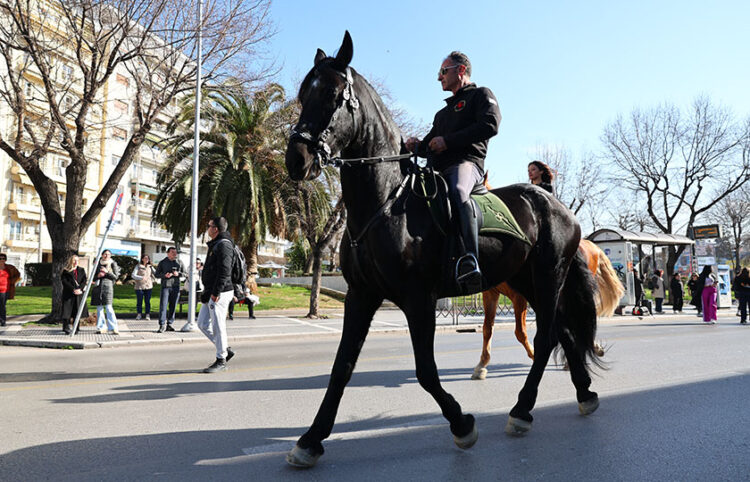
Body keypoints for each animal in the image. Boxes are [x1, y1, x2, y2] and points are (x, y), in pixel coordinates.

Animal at [284, 31, 604, 466]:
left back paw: (522, 410)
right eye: (304, 94)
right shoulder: (361, 296)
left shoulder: (418, 299)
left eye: (334, 96)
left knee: (545, 338)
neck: (388, 202)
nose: (296, 159)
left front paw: (462, 423)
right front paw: (311, 439)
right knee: (562, 332)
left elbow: (425, 370)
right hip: (528, 281)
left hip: (548, 276)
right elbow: (342, 367)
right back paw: (584, 393)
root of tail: (556, 204)